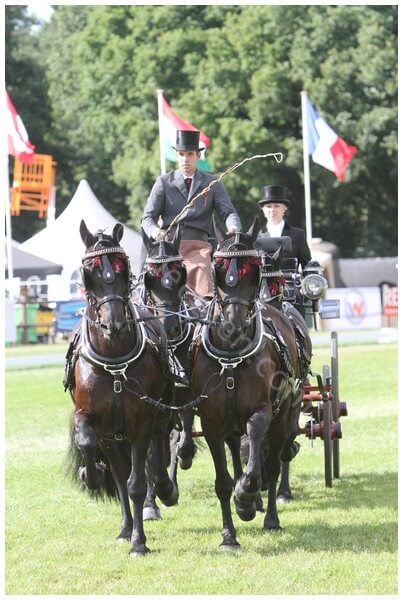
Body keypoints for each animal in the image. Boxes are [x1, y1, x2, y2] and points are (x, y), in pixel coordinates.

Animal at [66, 220, 178, 556]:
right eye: (88, 271)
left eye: (123, 267)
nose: (113, 325)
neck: (114, 359)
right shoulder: (90, 418)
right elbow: (87, 442)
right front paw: (89, 475)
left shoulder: (141, 423)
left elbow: (137, 483)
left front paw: (140, 542)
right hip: (113, 437)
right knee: (118, 473)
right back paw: (126, 527)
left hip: (156, 417)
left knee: (154, 456)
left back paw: (162, 492)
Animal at [190, 221, 302, 550]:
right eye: (217, 268)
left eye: (252, 271)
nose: (232, 327)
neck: (231, 357)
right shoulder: (212, 423)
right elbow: (223, 482)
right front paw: (228, 535)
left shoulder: (261, 412)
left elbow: (256, 454)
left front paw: (246, 498)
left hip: (284, 413)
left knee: (274, 463)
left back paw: (270, 515)